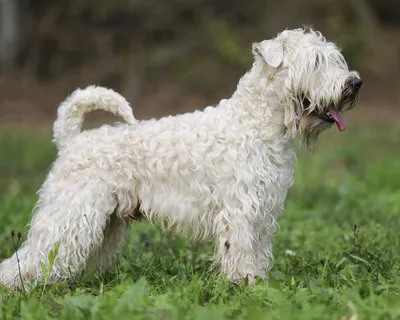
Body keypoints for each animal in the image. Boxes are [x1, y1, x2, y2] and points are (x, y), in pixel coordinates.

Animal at [0, 27, 360, 288]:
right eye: (315, 62)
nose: (354, 82)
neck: (256, 123)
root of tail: (71, 140)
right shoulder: (240, 211)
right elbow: (241, 252)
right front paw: (244, 287)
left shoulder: (263, 210)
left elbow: (257, 252)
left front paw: (259, 283)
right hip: (71, 214)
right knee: (27, 258)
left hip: (103, 221)